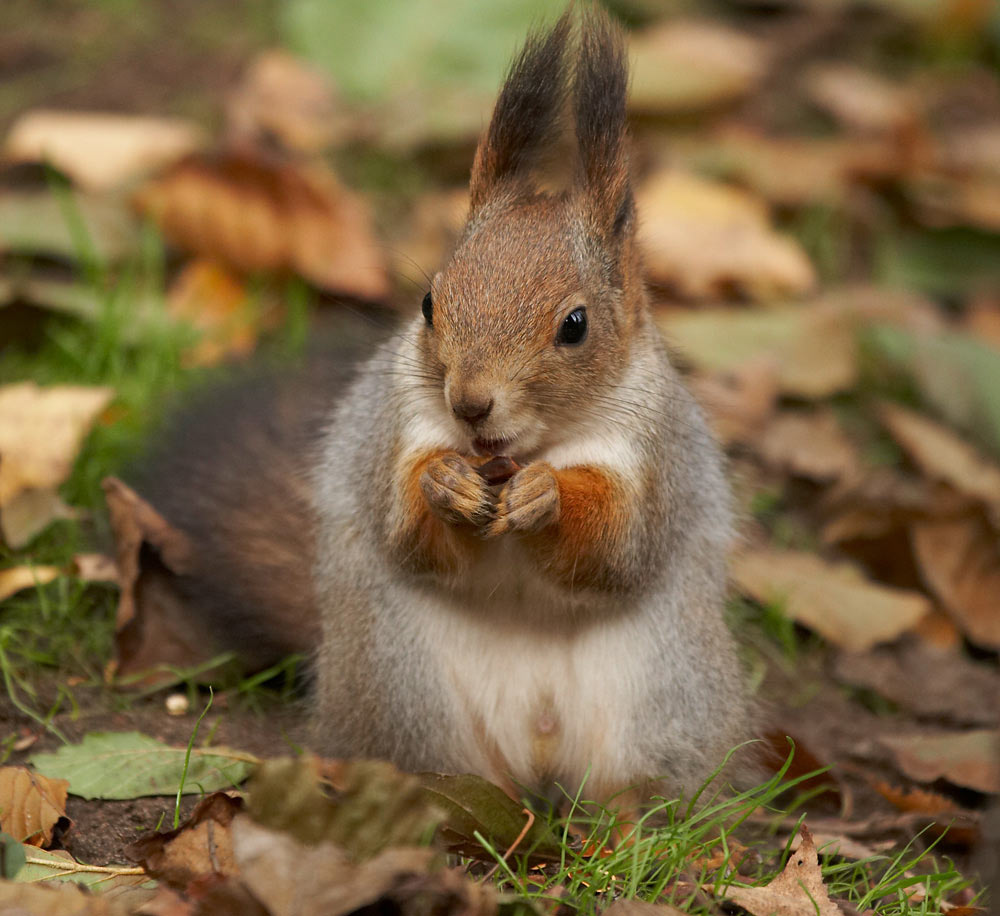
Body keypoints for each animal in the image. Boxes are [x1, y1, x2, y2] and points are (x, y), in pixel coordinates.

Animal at [129, 9, 750, 805]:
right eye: (429, 303)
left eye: (575, 325)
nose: (470, 403)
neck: (524, 449)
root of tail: (536, 750)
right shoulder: (399, 428)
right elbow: (411, 533)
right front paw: (444, 485)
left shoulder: (653, 455)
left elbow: (616, 548)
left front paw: (549, 496)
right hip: (405, 690)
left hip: (663, 699)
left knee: (637, 787)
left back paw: (631, 820)